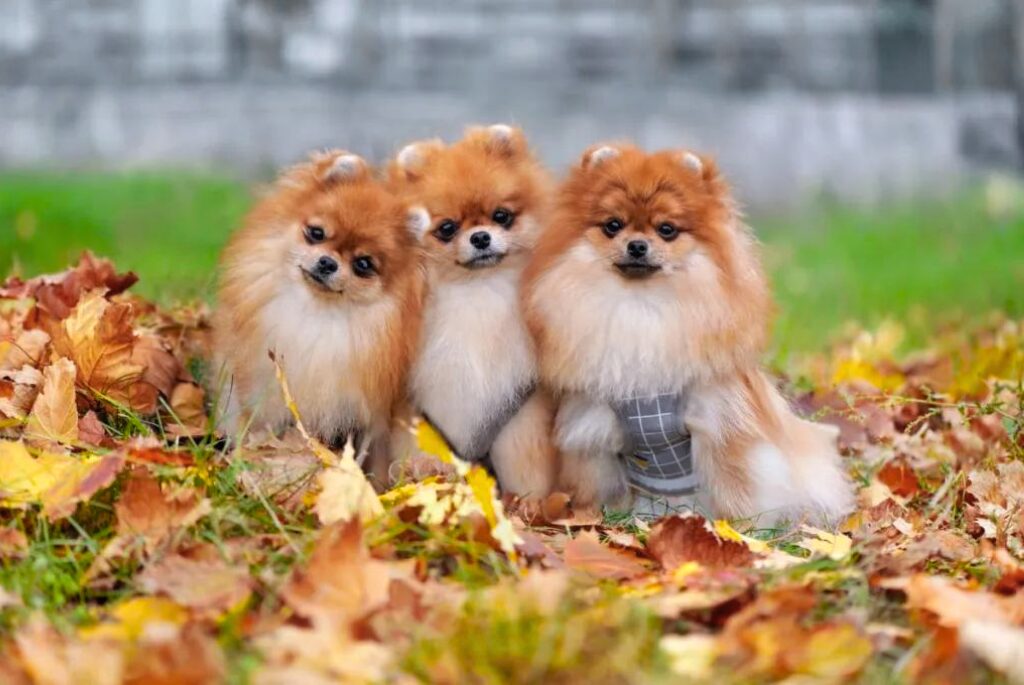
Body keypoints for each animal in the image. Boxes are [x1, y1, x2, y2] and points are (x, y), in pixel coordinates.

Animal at [214, 150, 425, 481]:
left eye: (363, 264)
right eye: (316, 233)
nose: (328, 263)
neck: (315, 315)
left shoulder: (367, 416)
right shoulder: (260, 391)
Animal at [385, 122, 561, 497]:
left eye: (501, 216)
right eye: (447, 228)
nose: (480, 237)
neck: (476, 291)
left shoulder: (520, 413)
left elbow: (526, 466)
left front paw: (528, 502)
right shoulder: (418, 412)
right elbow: (419, 452)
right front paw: (425, 474)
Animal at [524, 143, 851, 524]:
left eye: (667, 229)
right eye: (613, 225)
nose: (637, 245)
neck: (641, 307)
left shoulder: (722, 424)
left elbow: (736, 488)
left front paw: (739, 529)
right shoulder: (595, 431)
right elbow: (601, 487)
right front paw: (600, 519)